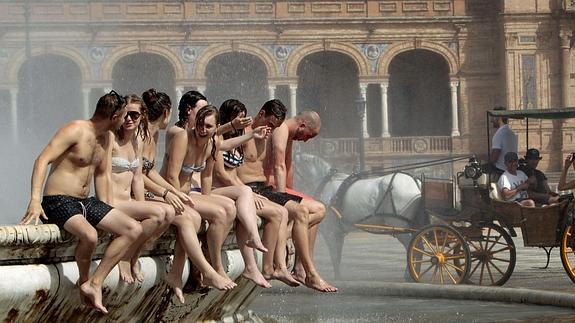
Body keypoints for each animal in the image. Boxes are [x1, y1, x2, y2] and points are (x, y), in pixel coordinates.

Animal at [292, 153, 428, 280]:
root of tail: (416, 183)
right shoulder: (338, 232)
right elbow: (338, 255)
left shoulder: (331, 232)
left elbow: (334, 256)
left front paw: (337, 277)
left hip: (400, 226)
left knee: (414, 247)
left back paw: (410, 274)